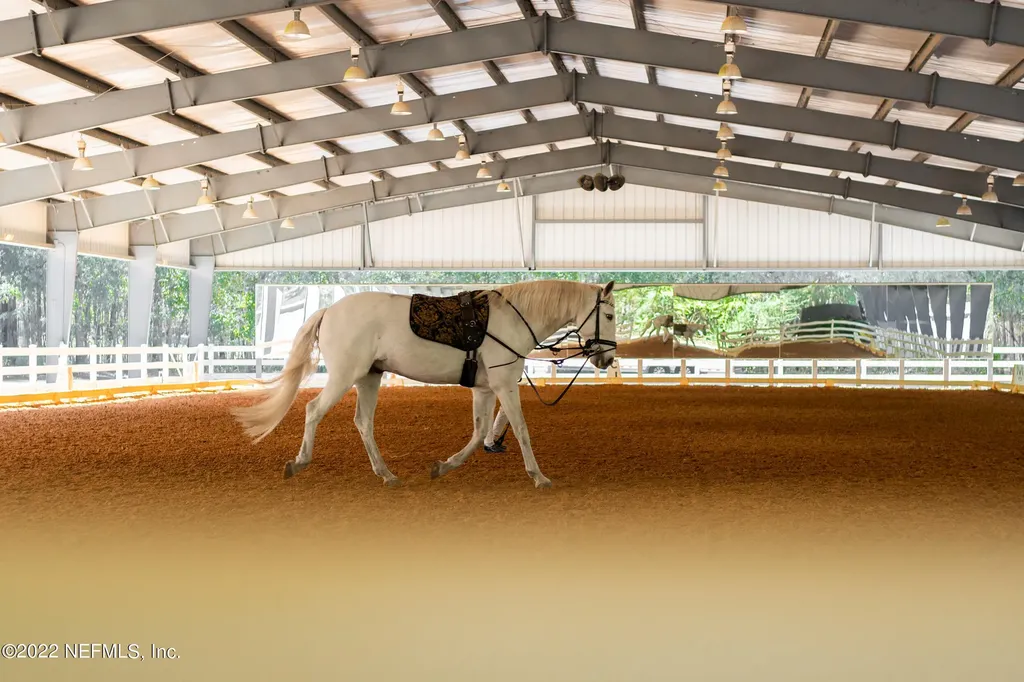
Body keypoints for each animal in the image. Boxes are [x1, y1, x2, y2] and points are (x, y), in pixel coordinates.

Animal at [232, 280, 617, 489]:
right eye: (610, 314)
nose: (608, 358)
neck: (512, 319)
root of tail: (330, 311)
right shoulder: (505, 384)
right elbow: (521, 429)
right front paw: (539, 477)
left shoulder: (485, 389)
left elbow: (479, 432)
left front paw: (443, 466)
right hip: (344, 375)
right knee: (313, 410)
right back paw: (299, 462)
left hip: (369, 377)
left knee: (363, 422)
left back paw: (386, 474)